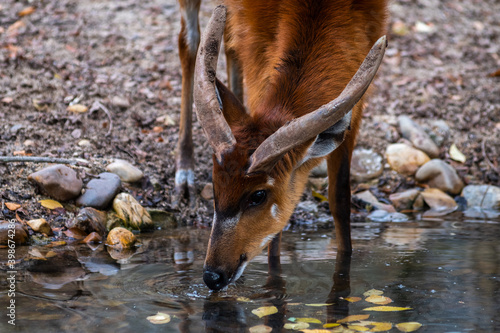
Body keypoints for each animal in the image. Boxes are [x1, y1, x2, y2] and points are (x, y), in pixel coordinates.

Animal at [175, 0, 386, 290]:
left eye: (258, 195)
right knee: (189, 41)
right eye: (215, 186)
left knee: (225, 46)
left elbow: (340, 199)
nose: (212, 276)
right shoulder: (256, 49)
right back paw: (183, 178)